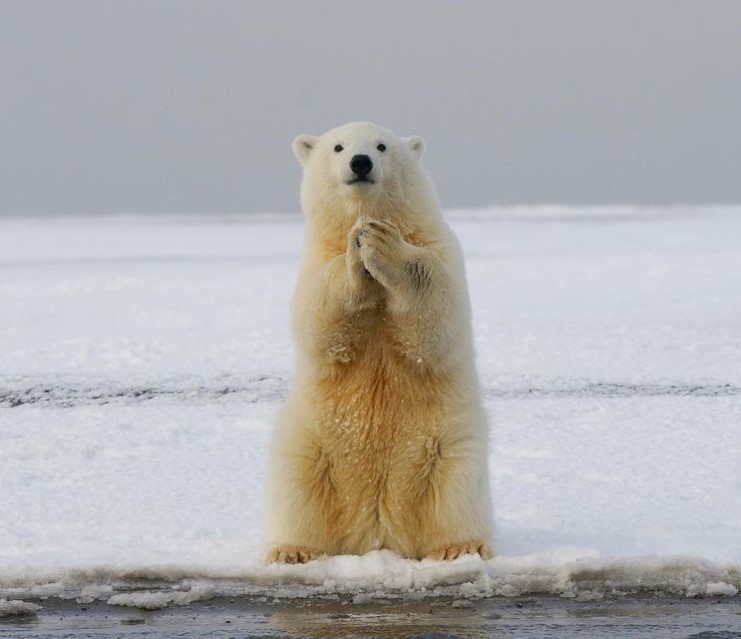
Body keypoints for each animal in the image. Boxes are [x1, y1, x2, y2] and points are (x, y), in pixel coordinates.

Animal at [264, 122, 492, 564]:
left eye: (382, 146)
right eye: (338, 147)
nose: (360, 162)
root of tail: (377, 533)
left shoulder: (440, 246)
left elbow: (438, 313)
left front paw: (382, 243)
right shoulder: (314, 260)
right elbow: (318, 319)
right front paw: (357, 250)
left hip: (447, 446)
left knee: (456, 492)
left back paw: (459, 547)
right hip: (312, 444)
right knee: (297, 487)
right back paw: (294, 551)